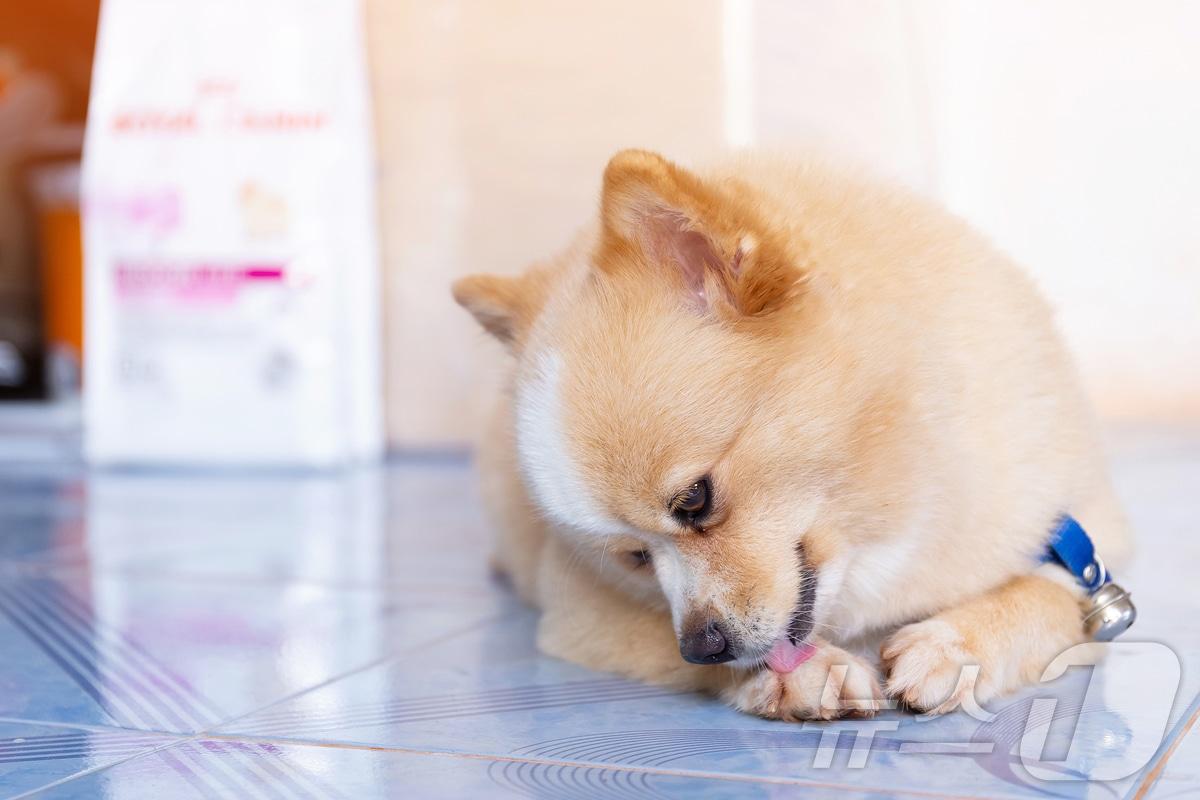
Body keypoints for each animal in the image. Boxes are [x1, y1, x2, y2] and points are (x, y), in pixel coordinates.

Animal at [451, 148, 1132, 719]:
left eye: (695, 500)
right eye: (635, 559)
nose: (703, 644)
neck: (883, 521)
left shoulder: (1088, 556)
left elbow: (1045, 597)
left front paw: (953, 644)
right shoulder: (577, 612)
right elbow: (667, 639)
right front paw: (802, 674)